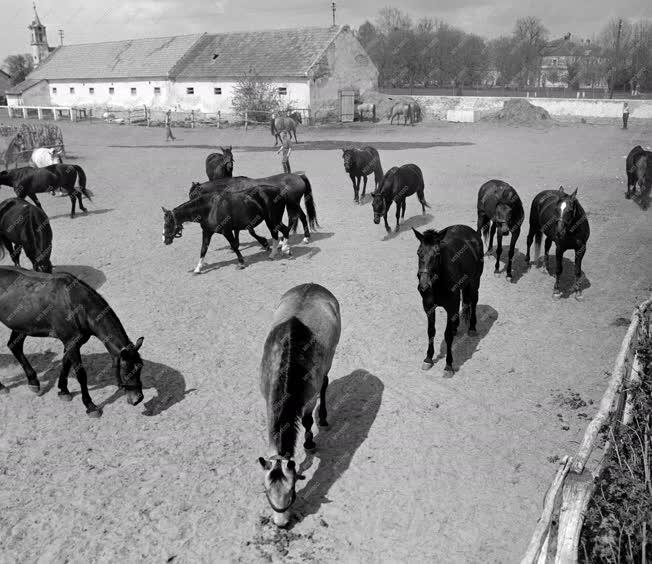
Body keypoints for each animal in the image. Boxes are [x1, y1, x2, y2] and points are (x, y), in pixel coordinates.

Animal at [0, 266, 144, 416]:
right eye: (126, 369)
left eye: (140, 367)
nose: (138, 399)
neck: (75, 305)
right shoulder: (71, 343)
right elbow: (81, 374)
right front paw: (90, 405)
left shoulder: (72, 343)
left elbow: (66, 364)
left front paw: (63, 391)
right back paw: (2, 387)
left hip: (21, 325)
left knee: (14, 346)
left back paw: (33, 382)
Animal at [163, 185, 292, 274]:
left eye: (168, 224)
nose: (165, 240)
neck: (209, 209)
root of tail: (279, 191)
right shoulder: (207, 232)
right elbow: (203, 249)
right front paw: (198, 268)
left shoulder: (226, 231)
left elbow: (234, 245)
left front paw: (241, 263)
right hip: (270, 220)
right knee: (277, 233)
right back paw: (275, 252)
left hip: (272, 219)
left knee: (283, 231)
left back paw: (284, 250)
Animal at [188, 173, 318, 243]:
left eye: (193, 195)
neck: (232, 188)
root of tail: (299, 176)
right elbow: (237, 231)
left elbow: (249, 231)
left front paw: (263, 242)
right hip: (292, 205)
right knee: (297, 218)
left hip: (294, 203)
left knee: (299, 217)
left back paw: (303, 238)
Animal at [258, 284, 344, 528]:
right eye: (266, 491)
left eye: (292, 491)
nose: (281, 523)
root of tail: (314, 285)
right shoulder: (268, 399)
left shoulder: (309, 398)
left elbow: (306, 420)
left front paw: (309, 442)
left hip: (329, 359)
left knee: (325, 383)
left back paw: (322, 417)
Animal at [412, 225, 484, 374]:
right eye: (418, 253)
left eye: (437, 254)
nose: (424, 286)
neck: (437, 283)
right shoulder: (428, 306)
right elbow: (431, 331)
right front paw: (428, 358)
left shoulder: (450, 307)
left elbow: (447, 335)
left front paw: (449, 365)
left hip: (475, 282)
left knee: (474, 301)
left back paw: (472, 328)